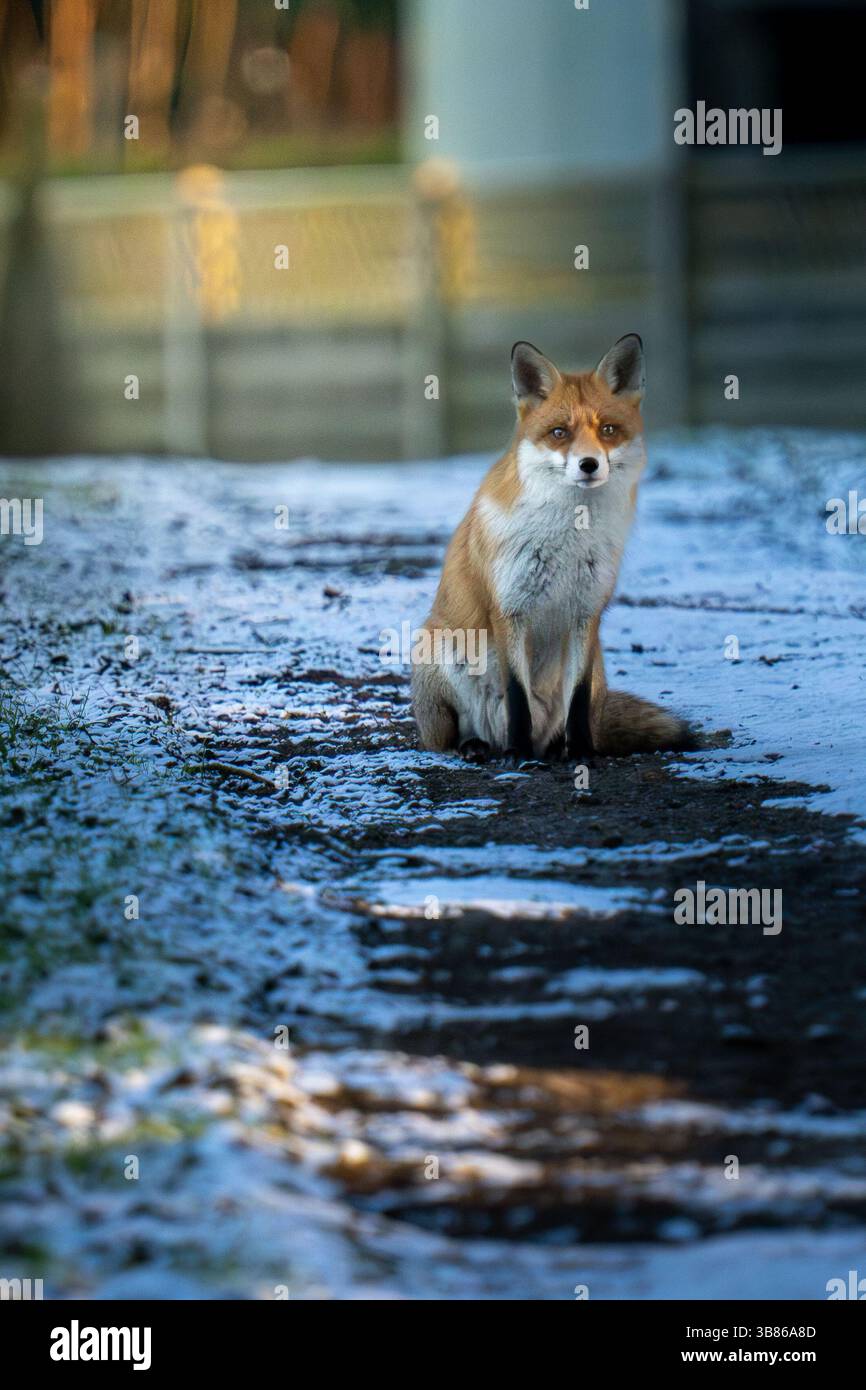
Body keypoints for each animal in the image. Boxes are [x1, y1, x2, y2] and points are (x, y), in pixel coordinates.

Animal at [411, 334, 696, 763]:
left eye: (608, 429)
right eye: (560, 432)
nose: (589, 464)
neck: (567, 538)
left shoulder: (586, 613)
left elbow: (576, 698)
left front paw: (580, 752)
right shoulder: (509, 610)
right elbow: (517, 696)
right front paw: (518, 752)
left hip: (594, 673)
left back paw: (555, 747)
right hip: (440, 650)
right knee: (448, 737)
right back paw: (480, 746)